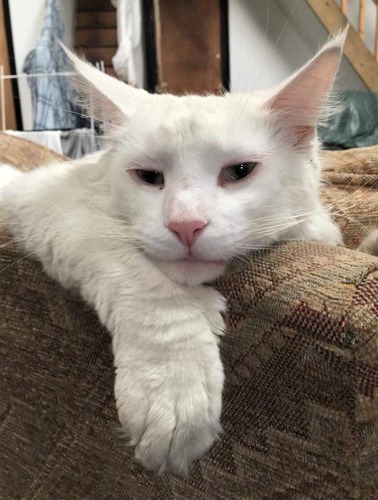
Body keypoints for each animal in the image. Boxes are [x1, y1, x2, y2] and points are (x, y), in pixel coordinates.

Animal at [0, 34, 346, 472]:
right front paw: (171, 386)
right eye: (148, 177)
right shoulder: (49, 205)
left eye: (239, 172)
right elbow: (150, 292)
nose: (186, 224)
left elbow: (314, 228)